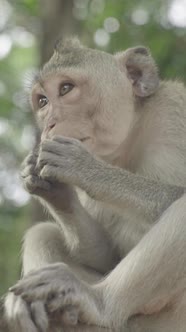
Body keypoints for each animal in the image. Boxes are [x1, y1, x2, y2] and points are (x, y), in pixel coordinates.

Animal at [3, 36, 186, 332]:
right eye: (42, 101)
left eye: (66, 88)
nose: (49, 125)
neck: (130, 139)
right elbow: (107, 257)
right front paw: (52, 190)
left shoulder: (173, 116)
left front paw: (83, 167)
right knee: (42, 233)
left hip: (167, 319)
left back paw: (98, 301)